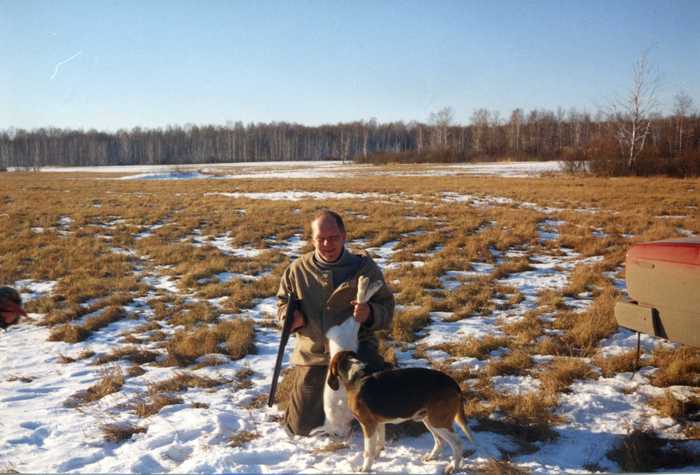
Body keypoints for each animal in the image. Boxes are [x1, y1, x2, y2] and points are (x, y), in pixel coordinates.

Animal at [330, 352, 476, 474]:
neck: (356, 377)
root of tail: (453, 382)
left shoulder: (367, 424)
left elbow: (368, 451)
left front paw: (365, 468)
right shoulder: (378, 423)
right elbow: (379, 443)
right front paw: (377, 455)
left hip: (438, 422)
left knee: (457, 444)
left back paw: (453, 467)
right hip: (429, 420)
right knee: (440, 441)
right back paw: (431, 457)